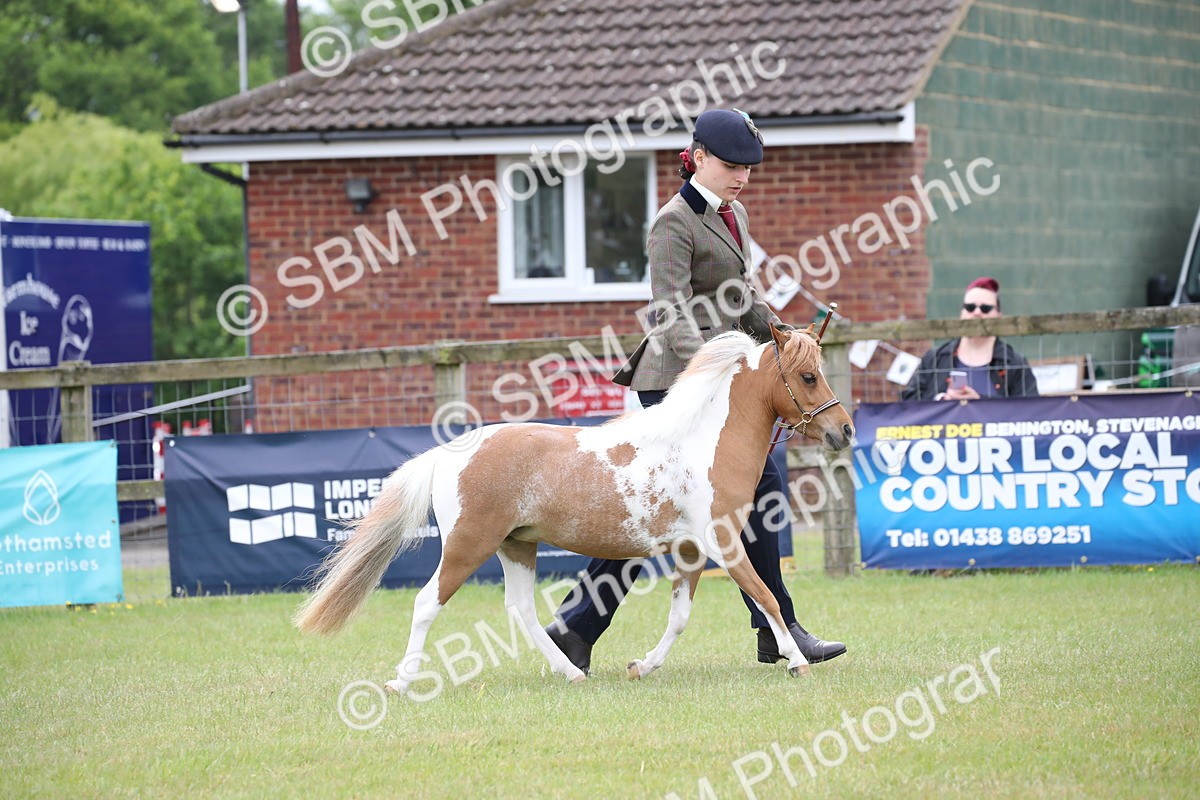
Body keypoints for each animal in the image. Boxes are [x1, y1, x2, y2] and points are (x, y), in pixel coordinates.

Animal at [294, 323, 854, 693]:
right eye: (808, 376)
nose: (844, 430)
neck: (701, 443)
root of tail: (448, 452)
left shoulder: (691, 551)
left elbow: (679, 618)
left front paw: (641, 666)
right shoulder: (723, 542)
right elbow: (768, 596)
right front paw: (797, 661)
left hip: (516, 546)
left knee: (520, 610)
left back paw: (568, 671)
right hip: (468, 544)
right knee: (426, 602)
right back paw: (402, 682)